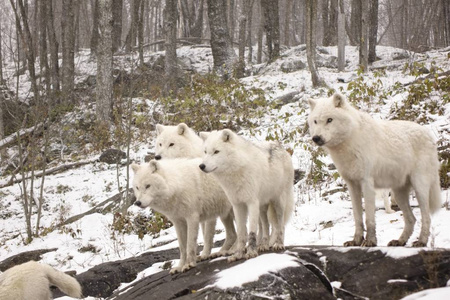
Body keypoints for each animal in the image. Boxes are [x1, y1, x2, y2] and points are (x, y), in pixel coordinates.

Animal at [200, 130, 296, 262]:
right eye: (205, 152)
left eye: (216, 151)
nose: (201, 166)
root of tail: (280, 147)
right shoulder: (237, 205)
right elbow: (241, 233)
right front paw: (238, 254)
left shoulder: (252, 203)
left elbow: (251, 232)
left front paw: (250, 253)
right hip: (263, 207)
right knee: (266, 226)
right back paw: (264, 245)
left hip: (278, 202)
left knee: (280, 225)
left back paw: (279, 244)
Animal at [308, 93, 442, 246]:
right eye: (315, 121)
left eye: (329, 120)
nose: (316, 138)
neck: (350, 142)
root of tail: (429, 135)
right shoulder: (352, 185)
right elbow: (357, 218)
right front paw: (356, 241)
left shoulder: (367, 183)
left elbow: (369, 218)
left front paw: (370, 241)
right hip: (399, 194)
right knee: (411, 219)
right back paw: (400, 241)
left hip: (420, 188)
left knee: (427, 217)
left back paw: (421, 242)